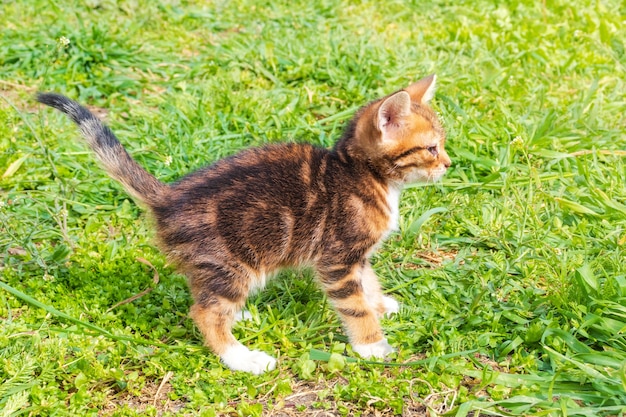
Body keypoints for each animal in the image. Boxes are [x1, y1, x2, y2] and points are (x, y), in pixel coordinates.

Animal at [36, 75, 448, 374]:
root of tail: (168, 198)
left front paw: (381, 304)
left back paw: (240, 316)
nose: (448, 164)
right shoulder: (338, 258)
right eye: (431, 148)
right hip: (234, 260)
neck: (362, 175)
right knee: (203, 312)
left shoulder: (355, 257)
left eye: (441, 144)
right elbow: (353, 304)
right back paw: (242, 358)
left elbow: (368, 282)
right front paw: (372, 344)